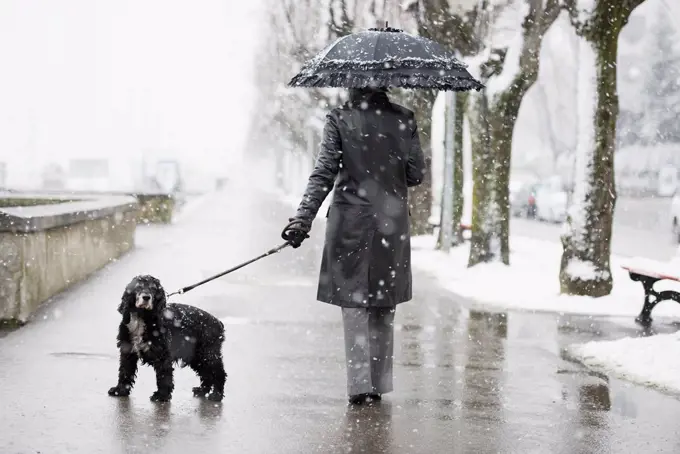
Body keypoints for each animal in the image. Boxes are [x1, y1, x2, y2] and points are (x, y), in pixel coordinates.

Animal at [107, 274, 227, 402]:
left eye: (154, 288)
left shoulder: (162, 353)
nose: (146, 297)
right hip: (196, 356)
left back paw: (216, 395)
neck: (142, 317)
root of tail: (218, 323)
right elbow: (125, 371)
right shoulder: (127, 350)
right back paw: (202, 391)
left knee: (219, 373)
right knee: (206, 373)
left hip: (208, 353)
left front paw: (161, 395)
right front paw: (120, 390)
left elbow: (164, 375)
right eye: (138, 287)